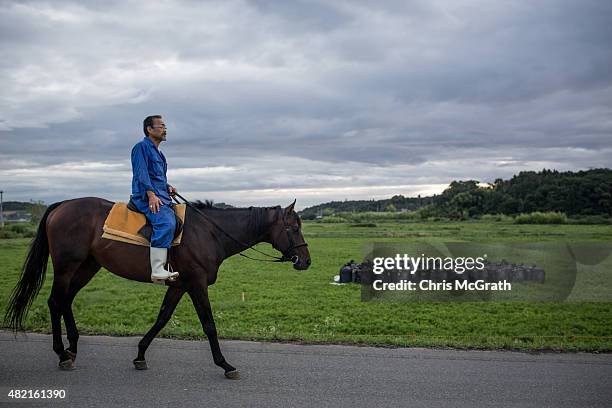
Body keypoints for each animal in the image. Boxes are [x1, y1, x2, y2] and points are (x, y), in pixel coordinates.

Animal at [4, 197, 310, 380]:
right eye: (294, 228)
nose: (306, 261)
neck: (210, 232)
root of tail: (63, 205)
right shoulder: (196, 283)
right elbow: (209, 325)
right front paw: (225, 364)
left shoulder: (180, 285)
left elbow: (162, 317)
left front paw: (140, 355)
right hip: (67, 267)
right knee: (56, 302)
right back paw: (61, 353)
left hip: (88, 267)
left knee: (66, 301)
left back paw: (72, 348)